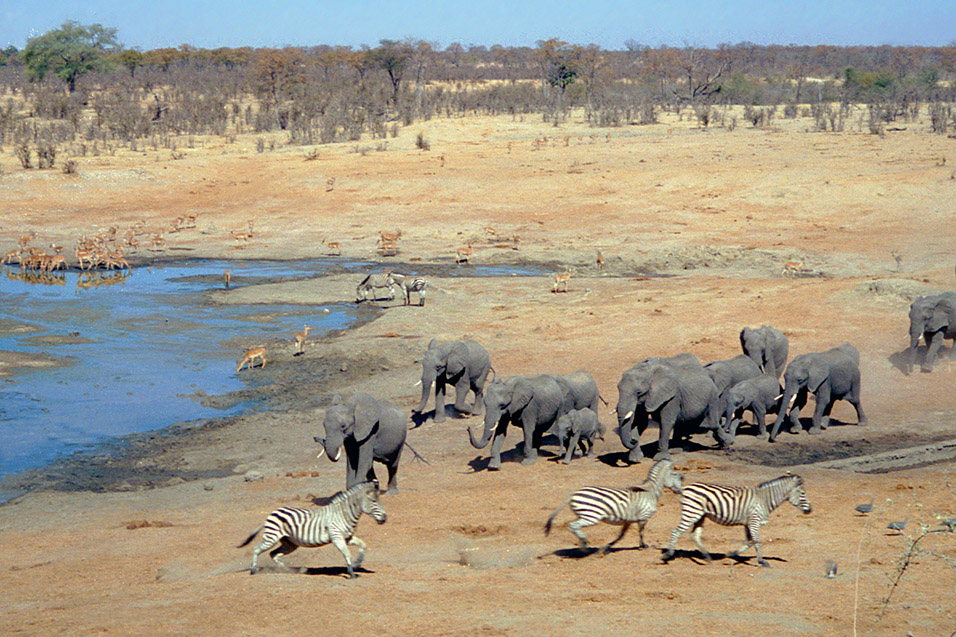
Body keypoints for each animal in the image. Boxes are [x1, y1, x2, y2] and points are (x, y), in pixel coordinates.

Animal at [237, 476, 386, 576]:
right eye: (374, 501)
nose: (385, 518)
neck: (343, 513)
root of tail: (272, 513)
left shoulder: (347, 538)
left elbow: (363, 545)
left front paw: (357, 564)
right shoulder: (336, 536)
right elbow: (346, 553)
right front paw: (351, 573)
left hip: (290, 543)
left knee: (274, 554)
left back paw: (293, 570)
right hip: (272, 537)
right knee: (257, 549)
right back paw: (253, 570)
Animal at [540, 458, 684, 552]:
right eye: (675, 475)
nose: (680, 491)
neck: (651, 492)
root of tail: (572, 495)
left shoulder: (628, 520)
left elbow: (621, 535)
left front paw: (608, 546)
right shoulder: (644, 517)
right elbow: (641, 533)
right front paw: (643, 545)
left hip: (584, 515)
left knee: (574, 526)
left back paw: (583, 545)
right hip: (591, 516)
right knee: (573, 526)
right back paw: (584, 545)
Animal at [664, 472, 816, 568]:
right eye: (802, 493)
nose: (810, 510)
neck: (764, 499)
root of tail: (685, 487)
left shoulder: (748, 523)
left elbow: (749, 541)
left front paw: (731, 554)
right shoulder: (754, 520)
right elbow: (756, 541)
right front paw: (762, 562)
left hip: (700, 515)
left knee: (695, 535)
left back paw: (707, 558)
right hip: (692, 513)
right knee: (675, 532)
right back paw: (667, 556)